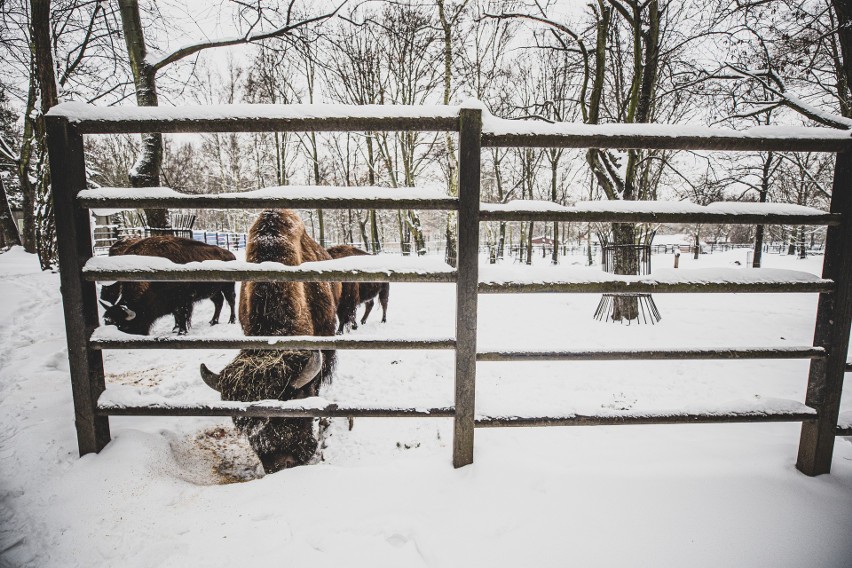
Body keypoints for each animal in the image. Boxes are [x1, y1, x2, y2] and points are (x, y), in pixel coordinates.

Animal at [101, 234, 238, 332]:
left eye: (125, 326)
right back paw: (213, 321)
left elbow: (182, 316)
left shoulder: (182, 301)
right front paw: (175, 328)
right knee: (218, 302)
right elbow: (176, 316)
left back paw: (231, 321)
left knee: (231, 301)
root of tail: (231, 255)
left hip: (228, 287)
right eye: (107, 323)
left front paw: (181, 331)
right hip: (213, 291)